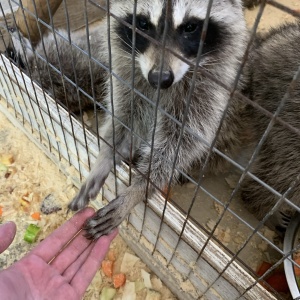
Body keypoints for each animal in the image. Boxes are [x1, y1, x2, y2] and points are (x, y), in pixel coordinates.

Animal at [61, 0, 248, 239]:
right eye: (143, 24)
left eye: (190, 27)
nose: (160, 78)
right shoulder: (129, 78)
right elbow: (124, 119)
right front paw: (105, 158)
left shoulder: (208, 92)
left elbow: (181, 143)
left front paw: (139, 189)